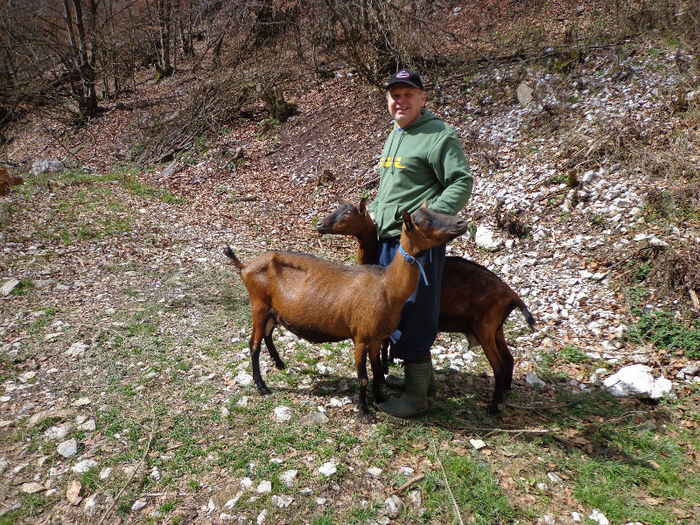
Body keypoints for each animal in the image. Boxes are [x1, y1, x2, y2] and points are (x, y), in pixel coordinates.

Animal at [224, 207, 468, 420]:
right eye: (423, 221)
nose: (461, 222)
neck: (387, 288)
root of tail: (244, 266)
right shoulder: (360, 337)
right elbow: (363, 377)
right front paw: (364, 411)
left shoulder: (377, 338)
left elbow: (378, 371)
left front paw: (380, 399)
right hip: (259, 305)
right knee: (253, 344)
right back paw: (262, 386)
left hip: (272, 310)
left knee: (267, 334)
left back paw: (280, 364)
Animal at [318, 198, 536, 414]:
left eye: (348, 213)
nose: (320, 225)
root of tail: (512, 297)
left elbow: (385, 342)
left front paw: (385, 368)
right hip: (496, 328)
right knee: (508, 359)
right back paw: (505, 392)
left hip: (485, 328)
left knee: (499, 366)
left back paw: (494, 406)